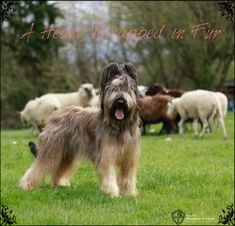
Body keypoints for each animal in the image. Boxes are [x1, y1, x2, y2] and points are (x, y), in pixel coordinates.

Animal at [19, 62, 140, 198]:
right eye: (114, 89)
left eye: (127, 89)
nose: (120, 101)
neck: (119, 126)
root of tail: (55, 114)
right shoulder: (106, 155)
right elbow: (109, 174)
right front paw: (112, 193)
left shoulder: (130, 157)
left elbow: (128, 177)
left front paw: (130, 193)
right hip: (51, 149)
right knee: (37, 167)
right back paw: (26, 185)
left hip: (67, 154)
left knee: (58, 170)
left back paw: (59, 184)